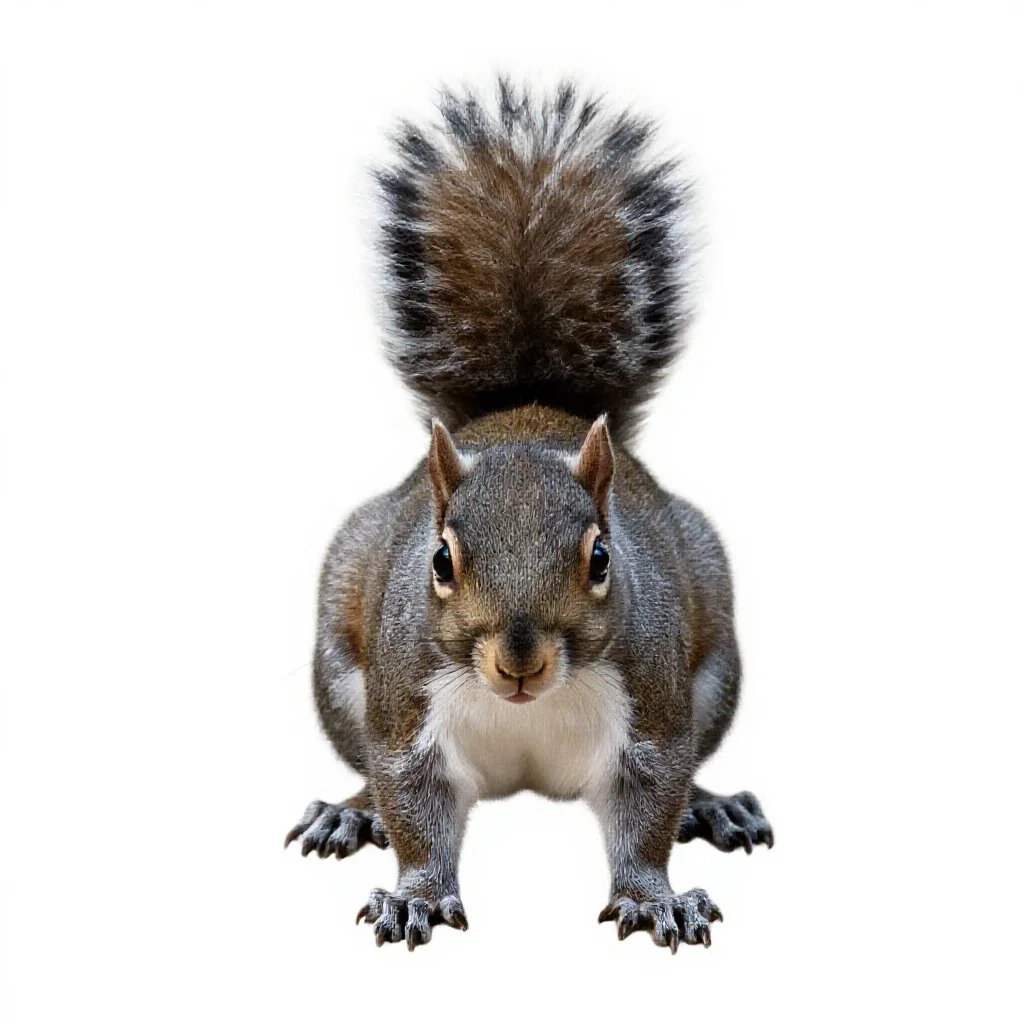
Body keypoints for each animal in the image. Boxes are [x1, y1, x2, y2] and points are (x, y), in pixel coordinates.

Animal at [285, 80, 773, 953]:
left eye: (603, 558)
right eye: (439, 560)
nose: (520, 660)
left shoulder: (654, 711)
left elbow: (650, 809)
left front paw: (654, 898)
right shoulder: (404, 713)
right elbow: (410, 803)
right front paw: (414, 896)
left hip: (714, 668)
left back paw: (712, 805)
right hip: (340, 671)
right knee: (368, 772)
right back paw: (350, 814)